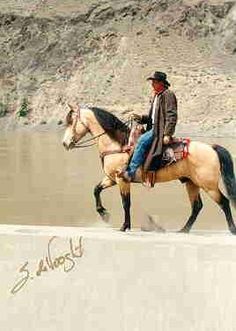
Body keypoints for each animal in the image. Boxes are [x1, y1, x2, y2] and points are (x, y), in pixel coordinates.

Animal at [62, 105, 236, 233]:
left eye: (71, 122)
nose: (65, 143)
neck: (119, 145)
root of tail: (212, 147)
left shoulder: (122, 179)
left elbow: (126, 203)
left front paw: (124, 226)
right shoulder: (111, 179)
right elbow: (96, 190)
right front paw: (104, 214)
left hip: (208, 185)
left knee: (224, 202)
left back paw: (232, 229)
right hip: (191, 183)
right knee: (197, 206)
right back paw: (183, 229)